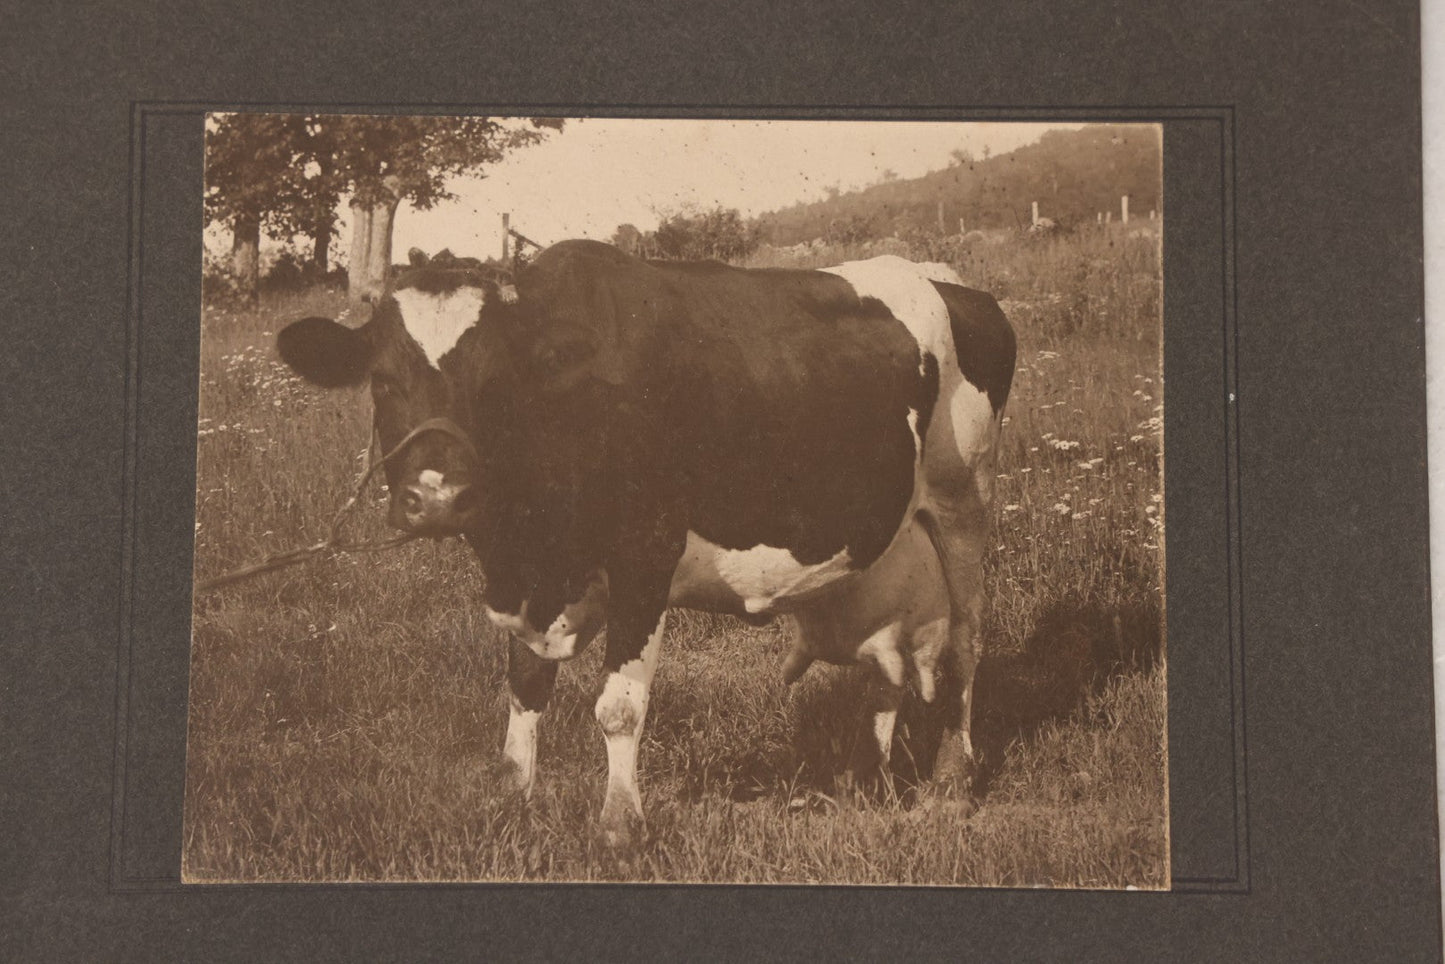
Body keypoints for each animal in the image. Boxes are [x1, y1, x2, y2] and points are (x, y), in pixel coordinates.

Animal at [277, 240, 1016, 846]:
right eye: (382, 381)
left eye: (495, 386)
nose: (437, 498)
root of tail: (949, 282)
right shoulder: (531, 583)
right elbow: (525, 686)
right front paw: (514, 799)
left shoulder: (644, 559)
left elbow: (618, 709)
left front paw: (618, 825)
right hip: (885, 539)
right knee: (888, 663)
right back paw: (866, 780)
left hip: (964, 496)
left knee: (965, 638)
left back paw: (950, 784)